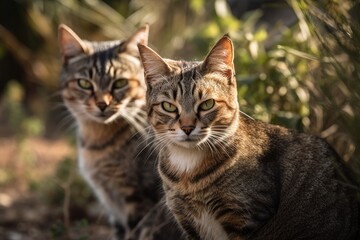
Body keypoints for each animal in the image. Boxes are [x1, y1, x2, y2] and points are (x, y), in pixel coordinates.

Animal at [137, 34, 358, 239]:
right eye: (169, 106)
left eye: (207, 104)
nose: (187, 127)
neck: (188, 171)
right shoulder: (188, 222)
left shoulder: (246, 216)